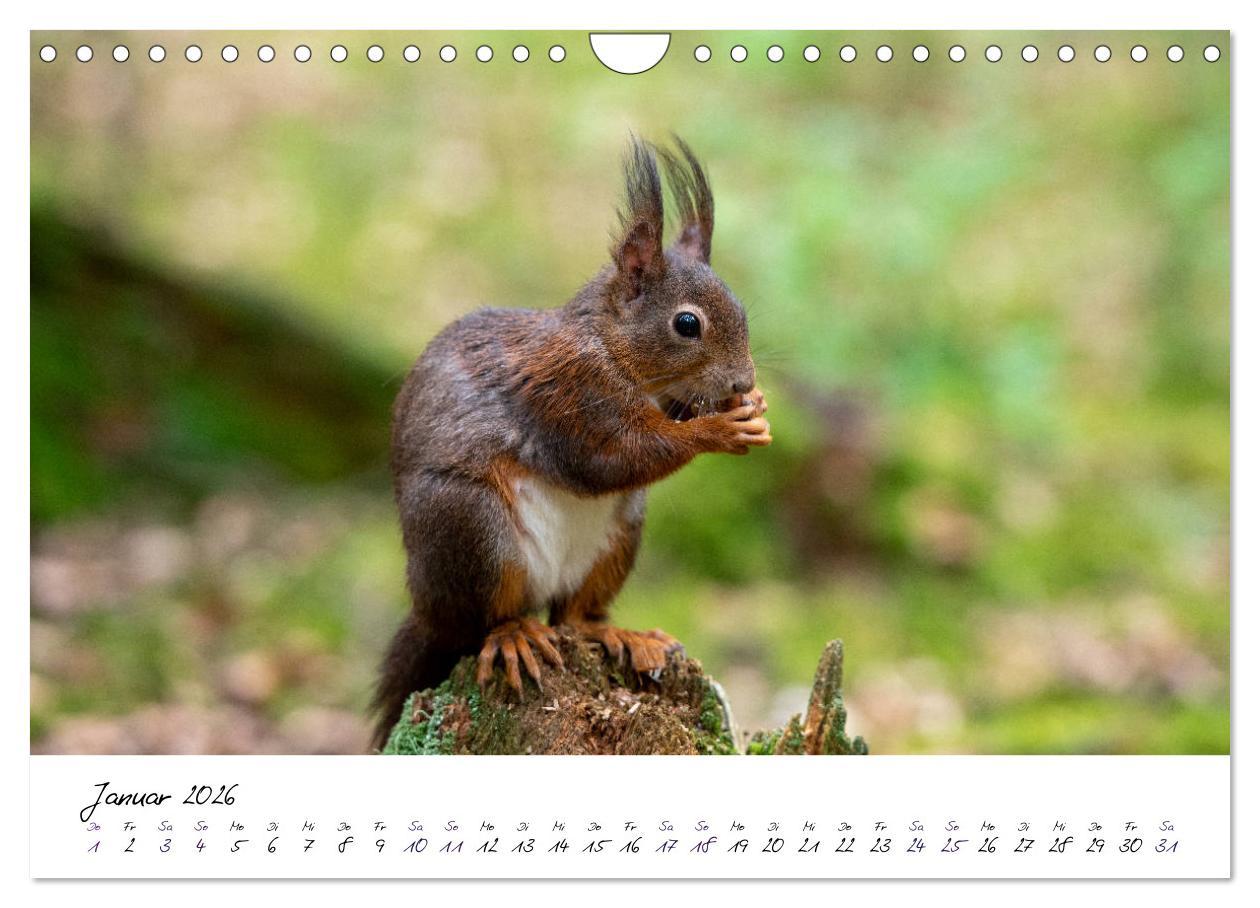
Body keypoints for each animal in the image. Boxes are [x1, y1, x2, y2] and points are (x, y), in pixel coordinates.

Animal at [371, 136, 771, 749]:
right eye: (687, 324)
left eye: (743, 311)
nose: (742, 383)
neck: (613, 347)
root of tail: (427, 608)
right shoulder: (569, 396)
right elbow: (611, 459)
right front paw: (718, 430)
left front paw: (755, 410)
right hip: (471, 526)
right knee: (483, 622)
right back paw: (514, 634)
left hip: (617, 537)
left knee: (574, 616)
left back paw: (622, 634)